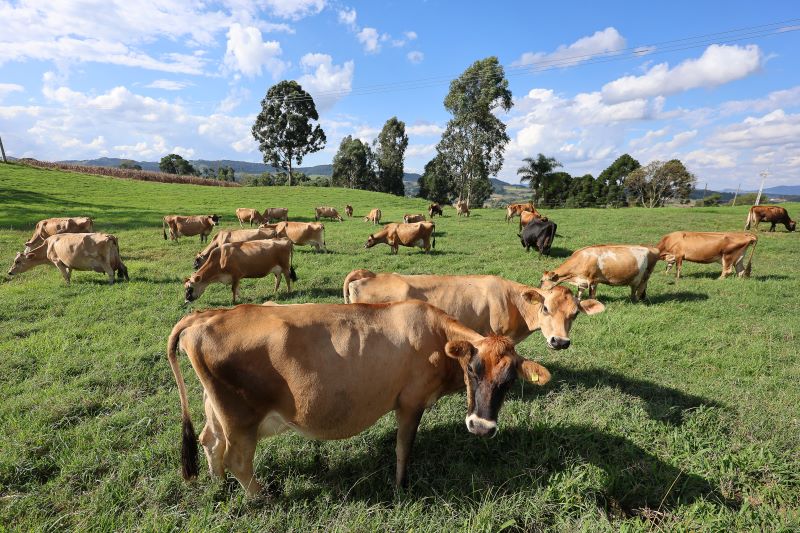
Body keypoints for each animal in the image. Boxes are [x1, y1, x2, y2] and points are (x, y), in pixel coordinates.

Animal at [162, 300, 552, 494]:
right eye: (472, 369)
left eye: (508, 381)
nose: (482, 426)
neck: (436, 334)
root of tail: (205, 316)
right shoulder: (410, 401)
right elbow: (402, 448)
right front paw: (400, 487)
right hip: (241, 417)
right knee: (237, 459)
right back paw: (261, 498)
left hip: (216, 407)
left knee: (210, 441)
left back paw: (218, 484)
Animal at [536, 244, 664, 302]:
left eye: (541, 281)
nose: (539, 292)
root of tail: (652, 248)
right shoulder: (582, 281)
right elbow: (579, 294)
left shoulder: (592, 280)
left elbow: (591, 295)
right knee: (636, 288)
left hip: (646, 275)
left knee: (640, 288)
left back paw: (636, 301)